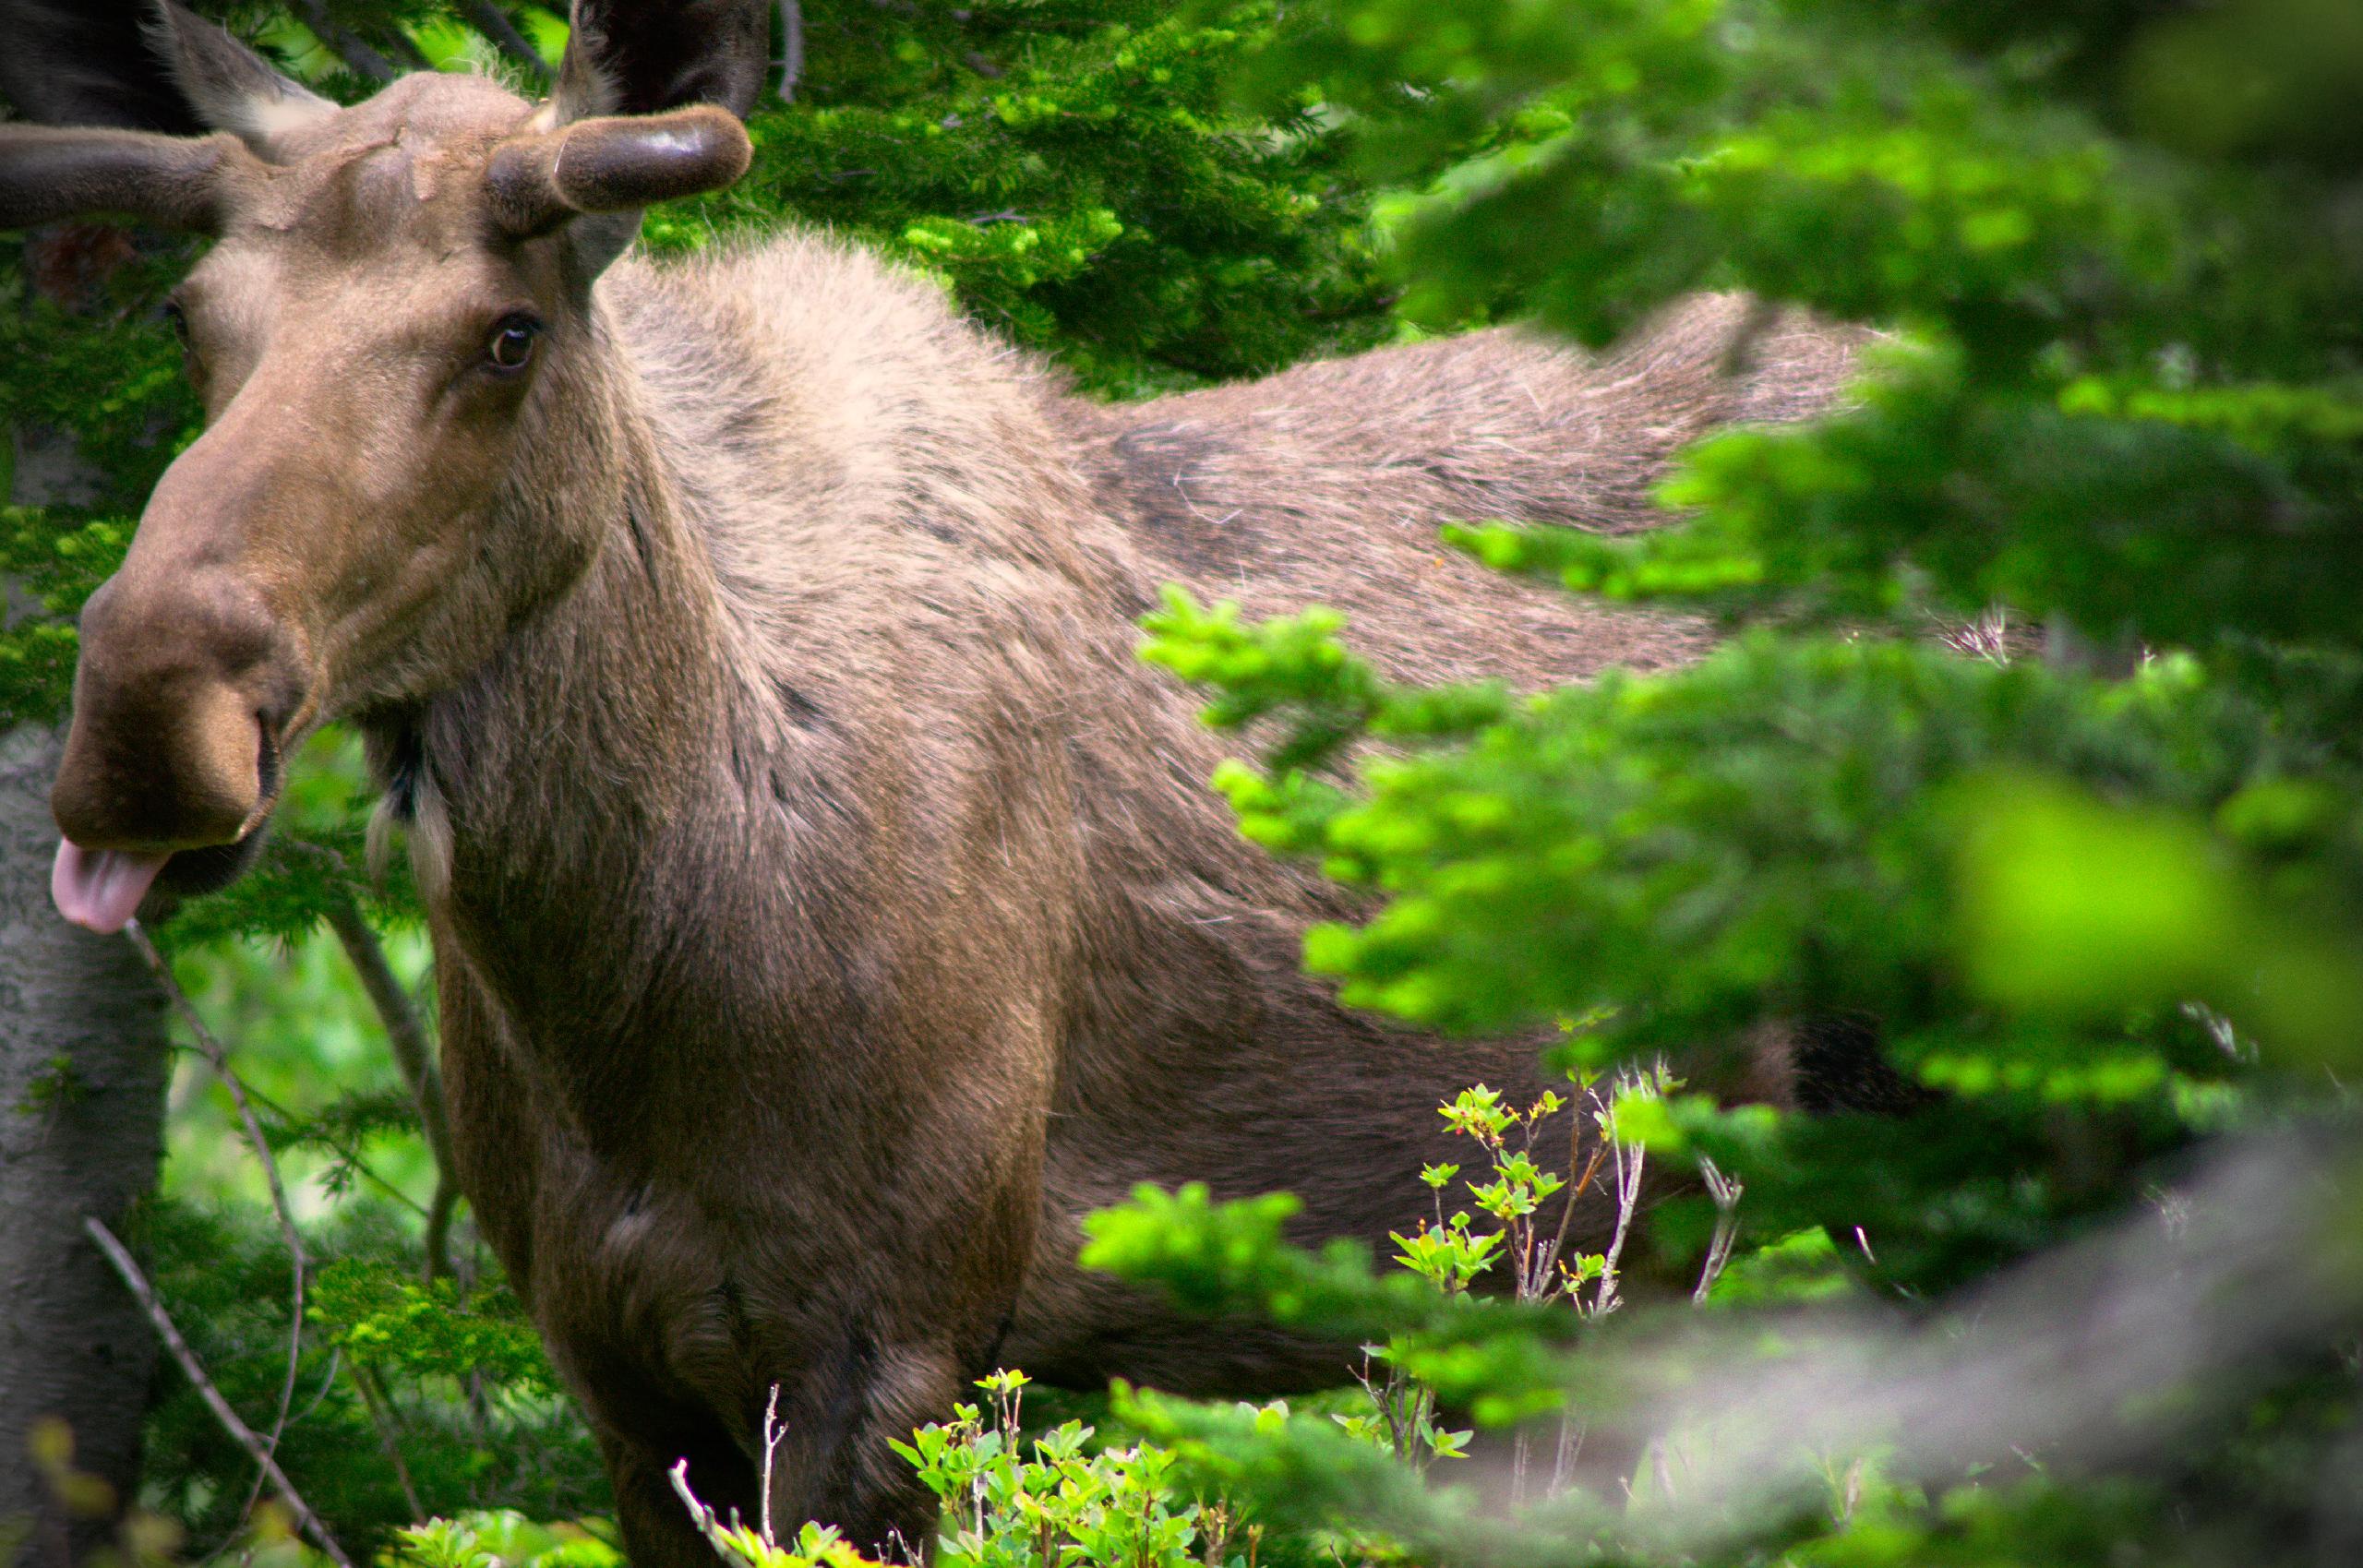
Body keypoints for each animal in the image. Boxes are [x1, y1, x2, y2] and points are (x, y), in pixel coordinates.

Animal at [9, 6, 1871, 1558]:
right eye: (191, 320)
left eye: (509, 332)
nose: (149, 718)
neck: (632, 975)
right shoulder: (620, 1379)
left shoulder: (896, 1349)